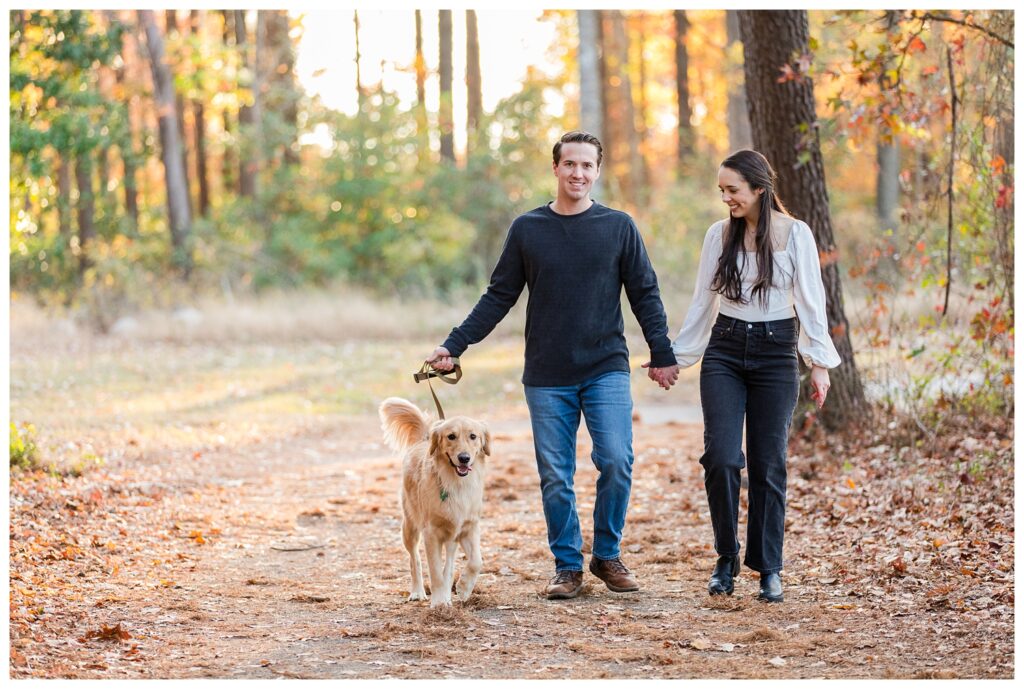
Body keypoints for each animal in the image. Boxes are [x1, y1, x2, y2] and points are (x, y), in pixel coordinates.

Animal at [378, 397, 489, 606]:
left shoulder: (469, 527)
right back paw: (418, 591)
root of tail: (424, 439)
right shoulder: (431, 533)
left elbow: (476, 562)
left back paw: (448, 592)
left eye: (473, 436)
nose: (464, 458)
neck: (455, 483)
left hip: (452, 536)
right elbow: (435, 571)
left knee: (450, 564)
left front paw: (463, 587)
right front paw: (438, 603)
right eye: (451, 436)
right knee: (415, 559)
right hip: (410, 525)